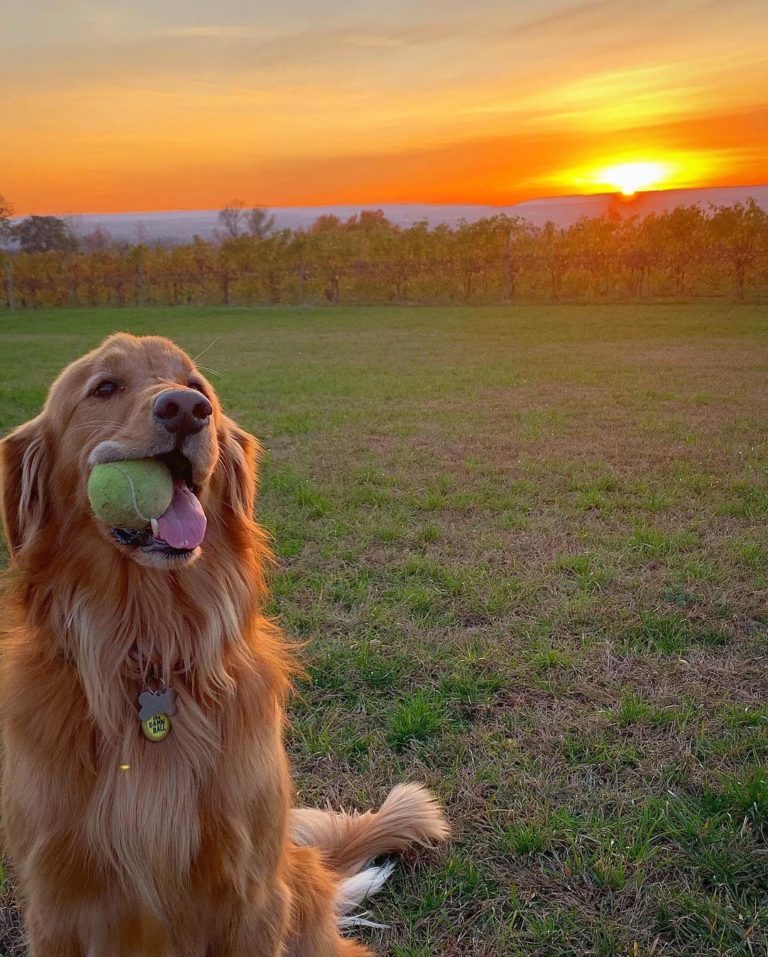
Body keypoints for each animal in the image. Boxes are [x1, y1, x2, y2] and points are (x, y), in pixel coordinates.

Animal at [0, 334, 448, 956]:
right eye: (104, 387)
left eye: (197, 386)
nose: (186, 409)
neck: (150, 654)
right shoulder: (55, 904)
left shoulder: (250, 892)